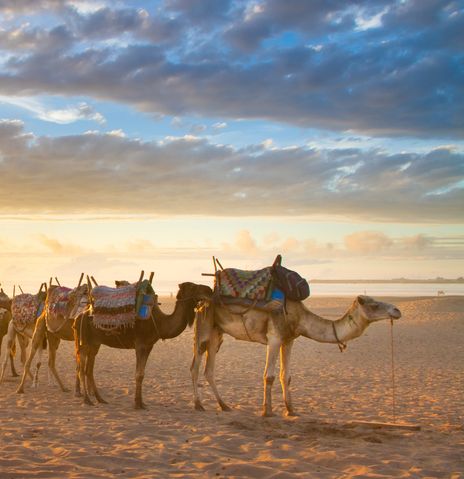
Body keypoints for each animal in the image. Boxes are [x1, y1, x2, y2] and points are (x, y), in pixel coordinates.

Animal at [75, 282, 212, 408]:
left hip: (95, 343)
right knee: (81, 369)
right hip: (84, 342)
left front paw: (141, 402)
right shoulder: (140, 345)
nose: (209, 290)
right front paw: (137, 404)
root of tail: (78, 317)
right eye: (193, 286)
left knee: (89, 370)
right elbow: (138, 374)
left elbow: (142, 374)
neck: (160, 323)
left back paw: (100, 399)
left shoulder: (149, 346)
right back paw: (87, 400)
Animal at [190, 294, 400, 418]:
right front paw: (267, 411)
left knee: (209, 369)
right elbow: (269, 375)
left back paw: (224, 405)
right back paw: (198, 405)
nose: (397, 310)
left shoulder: (288, 340)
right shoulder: (274, 338)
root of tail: (200, 302)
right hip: (204, 325)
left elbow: (286, 376)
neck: (299, 318)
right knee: (195, 364)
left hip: (217, 331)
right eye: (374, 305)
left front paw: (291, 410)